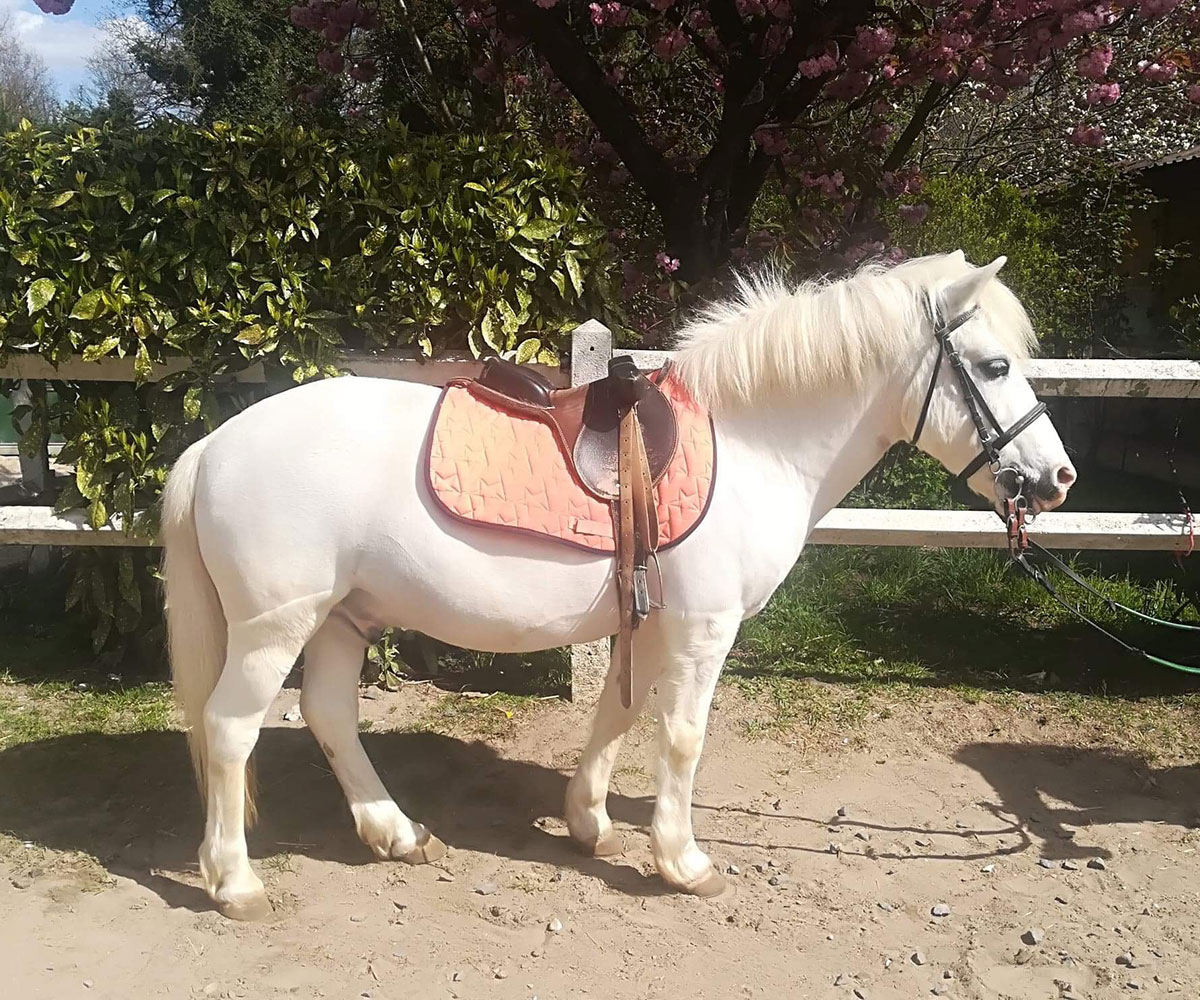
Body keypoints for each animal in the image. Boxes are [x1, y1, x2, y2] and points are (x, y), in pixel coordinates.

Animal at [162, 246, 1080, 917]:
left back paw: (394, 832)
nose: (1058, 478)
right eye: (994, 367)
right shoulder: (704, 627)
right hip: (275, 627)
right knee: (231, 729)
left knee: (328, 715)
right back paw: (235, 881)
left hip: (342, 617)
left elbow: (618, 713)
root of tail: (212, 446)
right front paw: (681, 859)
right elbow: (681, 736)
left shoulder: (647, 620)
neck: (754, 441)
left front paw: (590, 823)